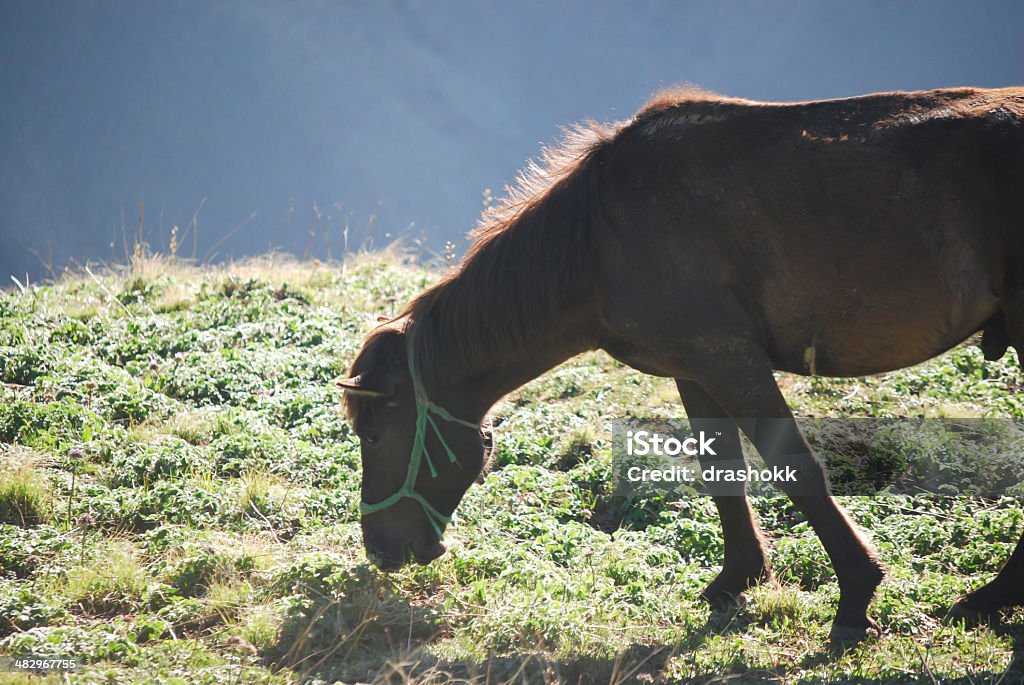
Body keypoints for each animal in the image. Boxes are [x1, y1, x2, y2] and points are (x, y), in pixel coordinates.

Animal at [342, 85, 1024, 643]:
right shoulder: (695, 368)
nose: (381, 549)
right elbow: (722, 469)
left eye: (373, 433)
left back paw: (987, 600)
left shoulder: (728, 357)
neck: (600, 237)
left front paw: (856, 597)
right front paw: (739, 578)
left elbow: (796, 470)